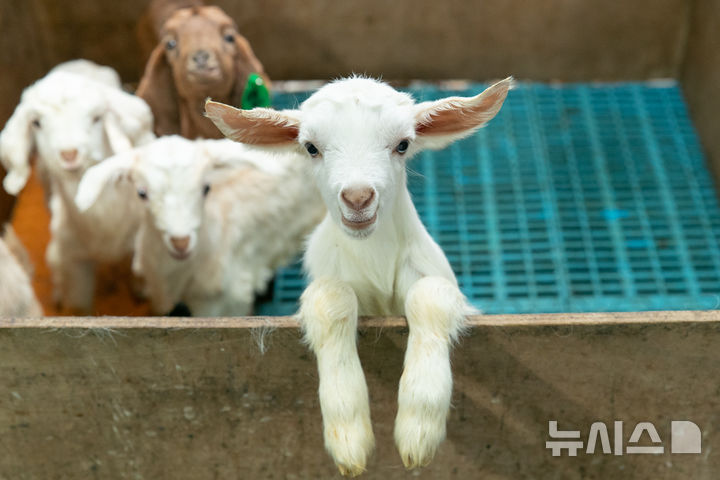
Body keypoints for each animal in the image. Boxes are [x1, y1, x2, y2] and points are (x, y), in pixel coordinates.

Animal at [1, 62, 155, 314]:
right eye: (36, 123)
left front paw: (142, 290)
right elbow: (79, 308)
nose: (69, 153)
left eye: (97, 117)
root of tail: (74, 63)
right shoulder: (73, 263)